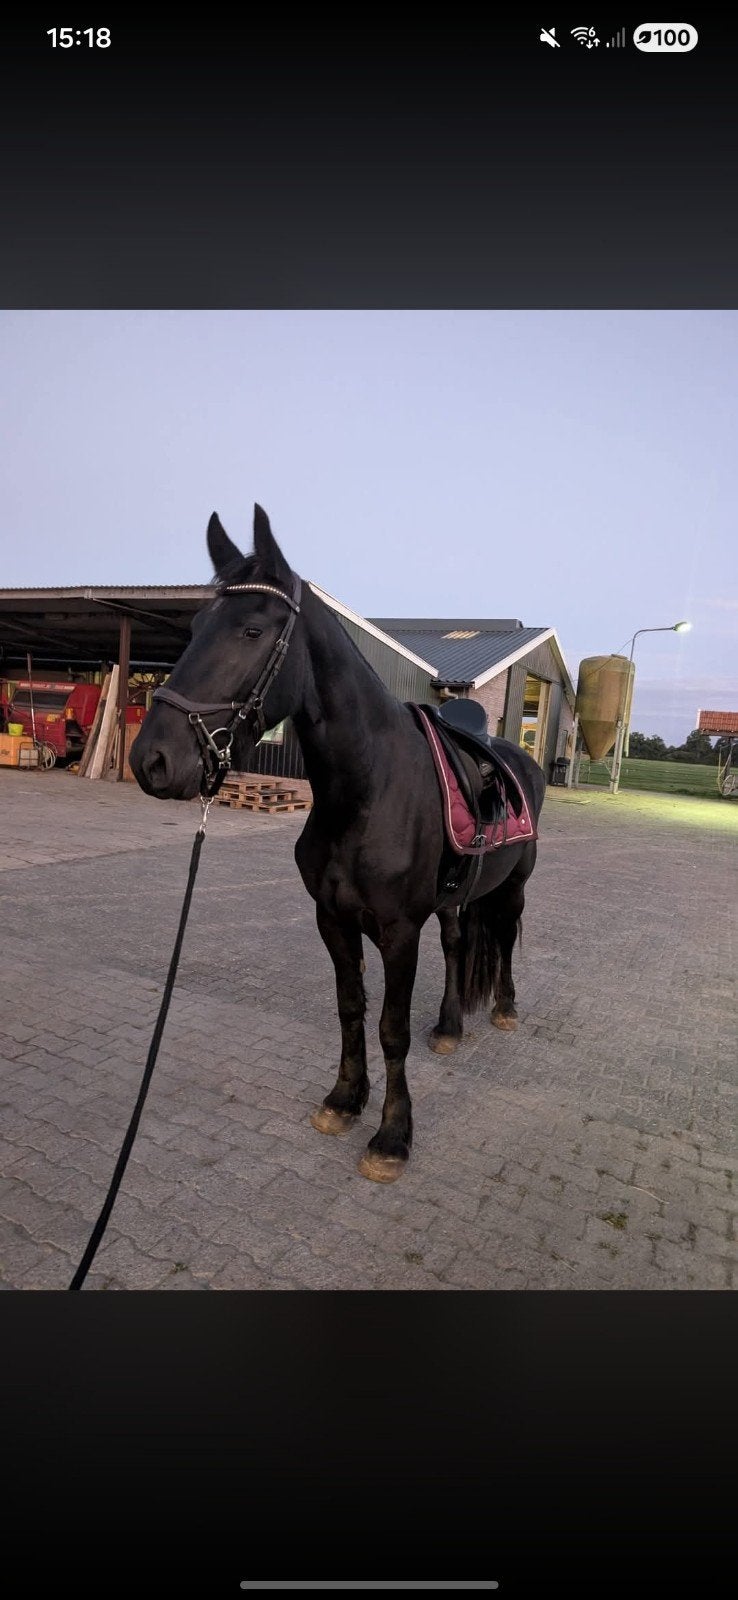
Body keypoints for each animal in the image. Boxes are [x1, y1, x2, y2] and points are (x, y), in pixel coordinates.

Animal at [130, 505, 546, 1183]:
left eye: (251, 629)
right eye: (193, 626)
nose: (153, 760)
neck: (368, 790)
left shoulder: (399, 932)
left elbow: (390, 1028)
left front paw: (392, 1138)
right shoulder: (332, 920)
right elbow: (351, 1008)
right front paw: (345, 1100)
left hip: (513, 884)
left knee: (505, 937)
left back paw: (505, 1008)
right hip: (455, 898)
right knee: (458, 945)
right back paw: (450, 1025)